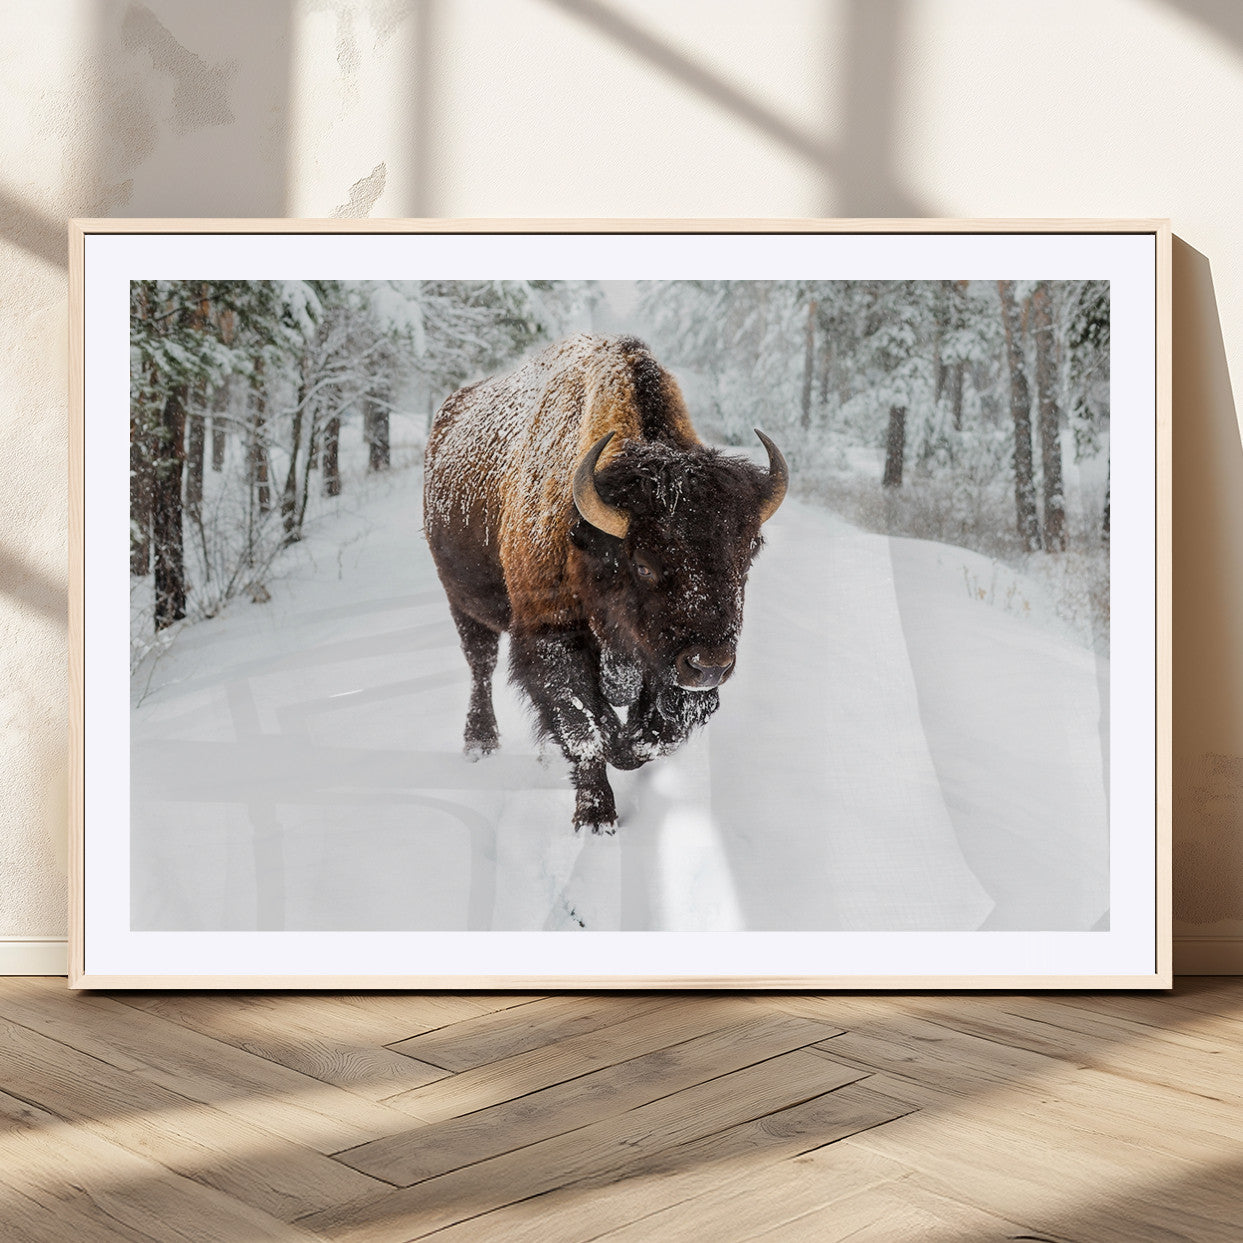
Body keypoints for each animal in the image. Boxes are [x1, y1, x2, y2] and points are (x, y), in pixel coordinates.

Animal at [423, 334, 787, 831]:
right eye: (644, 564)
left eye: (747, 554)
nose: (710, 665)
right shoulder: (553, 639)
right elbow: (587, 729)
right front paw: (596, 817)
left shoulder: (662, 664)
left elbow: (657, 733)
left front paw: (628, 744)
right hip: (461, 602)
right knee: (480, 665)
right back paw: (480, 743)